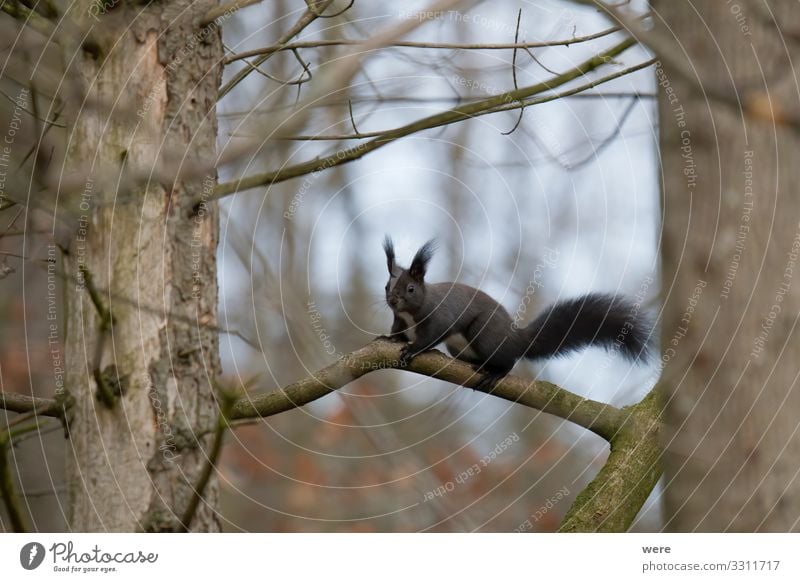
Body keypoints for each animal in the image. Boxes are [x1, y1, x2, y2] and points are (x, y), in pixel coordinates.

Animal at [380, 237, 648, 392]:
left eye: (411, 288)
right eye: (386, 286)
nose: (391, 300)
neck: (410, 313)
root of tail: (516, 338)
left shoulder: (439, 317)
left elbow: (431, 335)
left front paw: (413, 349)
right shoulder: (400, 321)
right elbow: (396, 332)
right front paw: (388, 339)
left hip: (484, 333)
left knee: (508, 360)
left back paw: (495, 372)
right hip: (459, 348)